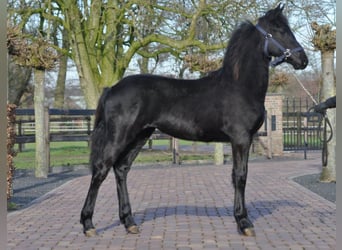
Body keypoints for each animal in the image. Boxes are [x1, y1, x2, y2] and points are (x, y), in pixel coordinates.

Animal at [79, 4, 308, 237]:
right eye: (280, 30)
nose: (303, 60)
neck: (240, 86)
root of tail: (112, 88)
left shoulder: (244, 139)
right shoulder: (241, 139)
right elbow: (240, 176)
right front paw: (243, 222)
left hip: (140, 135)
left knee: (121, 169)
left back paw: (129, 222)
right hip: (119, 136)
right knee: (101, 169)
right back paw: (88, 225)